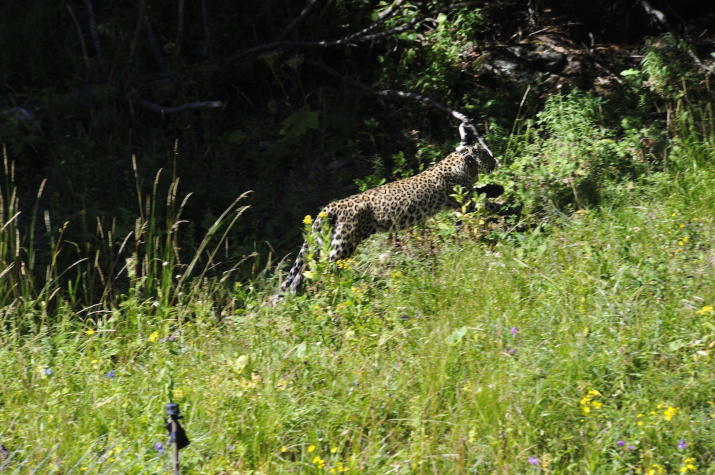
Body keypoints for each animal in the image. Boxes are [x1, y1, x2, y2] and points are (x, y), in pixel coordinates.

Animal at [276, 143, 506, 296]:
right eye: (487, 155)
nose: (497, 162)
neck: (464, 163)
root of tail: (331, 206)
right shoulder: (464, 203)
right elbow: (487, 204)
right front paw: (510, 206)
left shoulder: (464, 199)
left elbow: (482, 190)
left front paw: (498, 188)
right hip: (343, 246)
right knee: (324, 269)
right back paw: (331, 290)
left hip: (325, 243)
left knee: (305, 269)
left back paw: (299, 295)